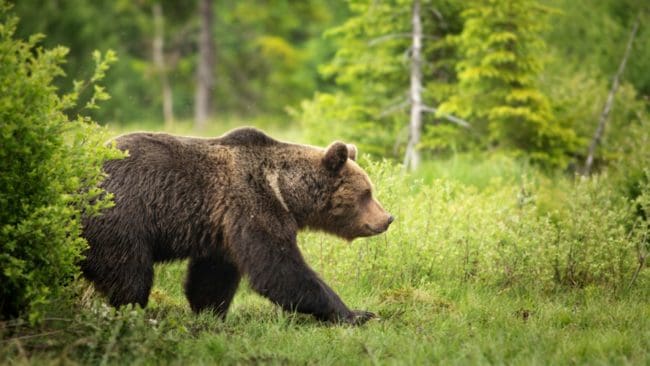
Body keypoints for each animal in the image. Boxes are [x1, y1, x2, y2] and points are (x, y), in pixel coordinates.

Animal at [81, 127, 394, 324]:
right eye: (366, 192)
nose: (387, 218)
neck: (284, 190)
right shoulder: (253, 205)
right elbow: (278, 268)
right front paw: (357, 314)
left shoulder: (221, 227)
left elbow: (213, 276)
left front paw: (211, 313)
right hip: (119, 219)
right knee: (130, 276)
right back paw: (130, 312)